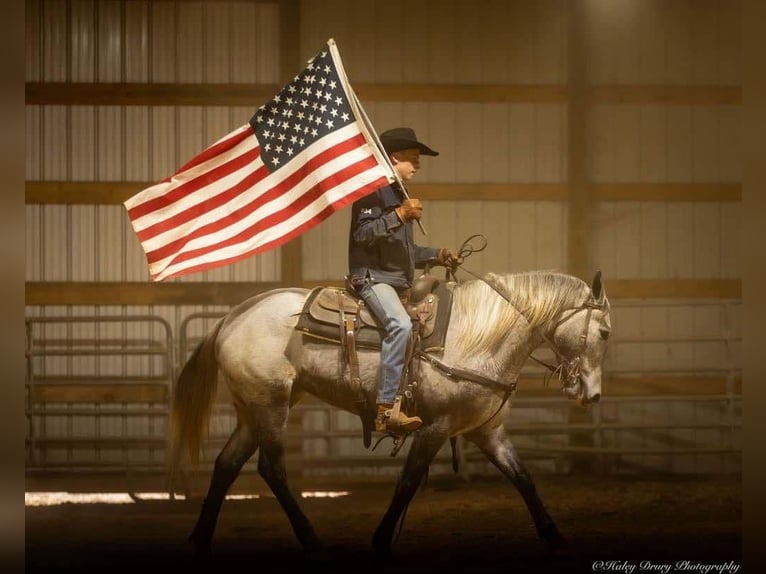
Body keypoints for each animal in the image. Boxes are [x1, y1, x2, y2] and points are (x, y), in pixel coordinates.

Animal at [168, 272, 612, 564]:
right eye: (605, 331)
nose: (592, 393)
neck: (478, 337)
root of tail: (234, 316)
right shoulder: (435, 428)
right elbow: (408, 483)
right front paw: (381, 540)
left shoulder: (487, 431)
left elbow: (523, 479)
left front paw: (555, 536)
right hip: (271, 405)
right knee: (271, 468)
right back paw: (310, 538)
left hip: (254, 409)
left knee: (227, 464)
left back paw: (200, 539)